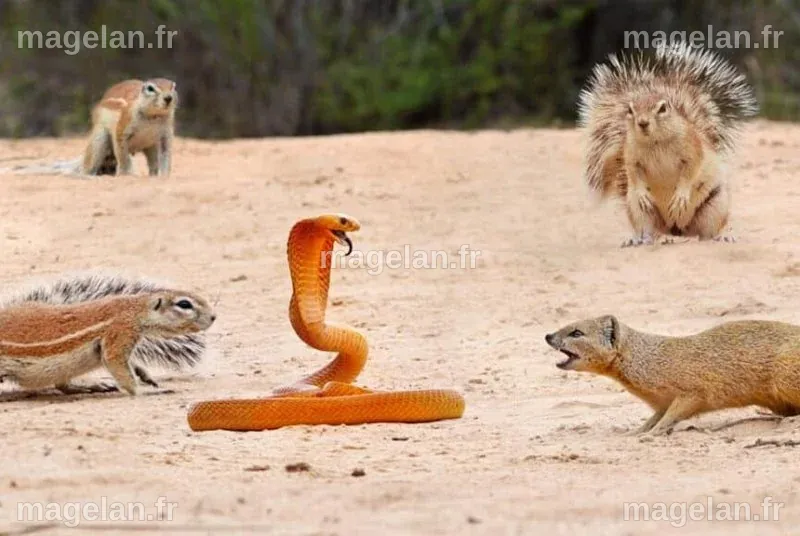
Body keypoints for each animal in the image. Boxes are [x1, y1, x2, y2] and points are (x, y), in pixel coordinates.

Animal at [0, 273, 212, 394]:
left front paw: (146, 376)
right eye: (184, 304)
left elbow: (130, 363)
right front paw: (145, 391)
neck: (134, 309)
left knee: (63, 387)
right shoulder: (120, 332)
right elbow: (118, 366)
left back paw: (92, 386)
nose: (213, 316)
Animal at [545, 316, 800, 436]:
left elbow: (673, 415)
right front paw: (635, 432)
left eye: (577, 332)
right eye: (567, 326)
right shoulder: (661, 402)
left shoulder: (693, 391)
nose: (548, 335)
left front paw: (653, 434)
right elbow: (654, 418)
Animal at [576, 42, 758, 247]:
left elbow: (691, 170)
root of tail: (677, 228)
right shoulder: (630, 155)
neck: (656, 142)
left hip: (715, 204)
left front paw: (681, 195)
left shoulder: (692, 148)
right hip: (640, 212)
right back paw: (643, 239)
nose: (643, 123)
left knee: (706, 233)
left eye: (662, 108)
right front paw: (642, 192)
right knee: (650, 231)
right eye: (630, 109)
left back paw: (722, 236)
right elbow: (633, 172)